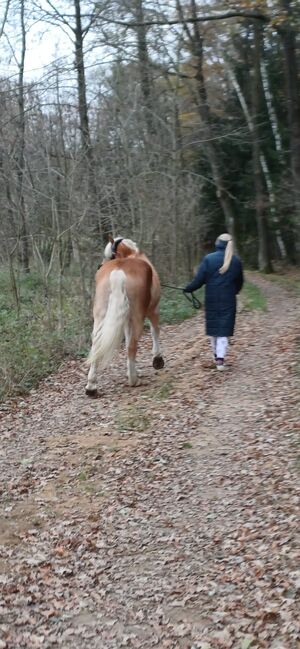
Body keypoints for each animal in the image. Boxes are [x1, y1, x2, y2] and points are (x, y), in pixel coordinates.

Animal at [85, 234, 165, 394]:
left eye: (109, 255)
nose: (99, 266)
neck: (131, 254)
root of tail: (119, 271)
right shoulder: (153, 310)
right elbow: (154, 331)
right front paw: (157, 359)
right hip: (138, 317)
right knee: (132, 344)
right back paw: (134, 380)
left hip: (100, 315)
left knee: (96, 342)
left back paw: (91, 386)